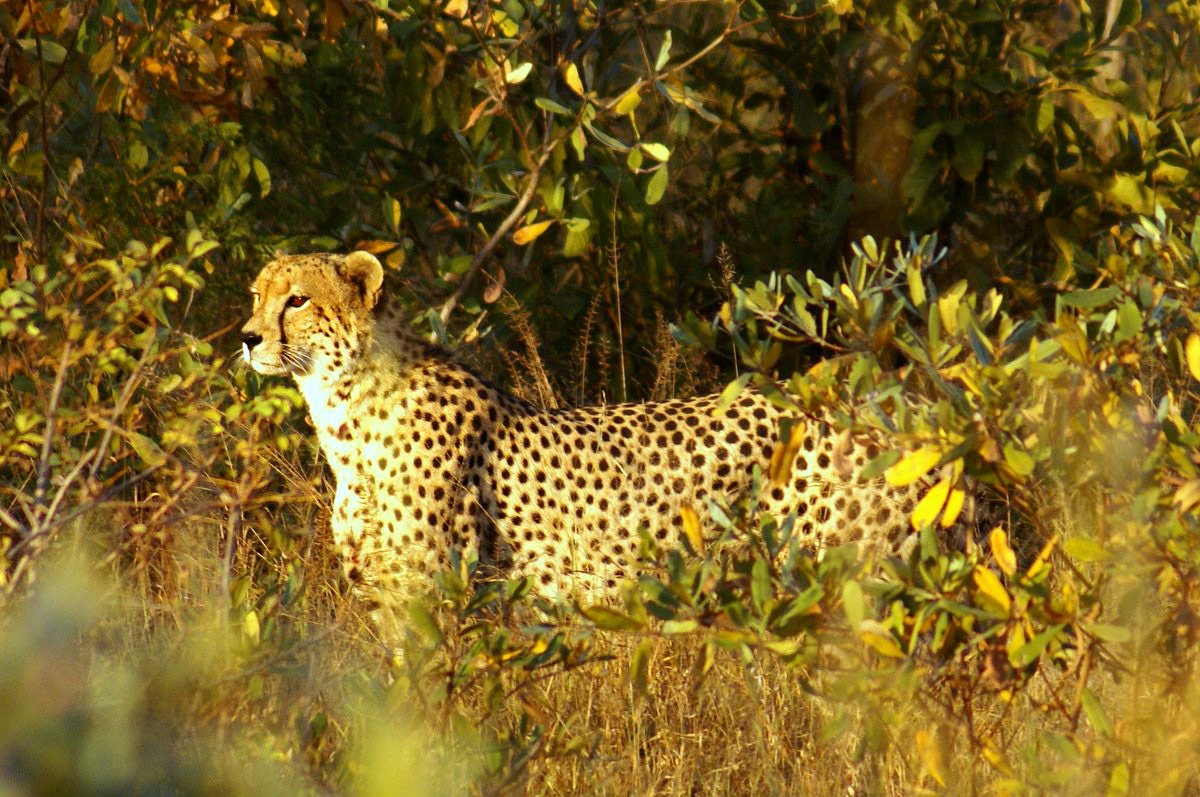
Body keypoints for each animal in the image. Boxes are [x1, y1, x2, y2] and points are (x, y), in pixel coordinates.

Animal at [238, 252, 921, 633]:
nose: (246, 337)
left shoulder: (426, 596)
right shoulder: (385, 595)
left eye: (297, 300)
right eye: (256, 296)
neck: (345, 410)